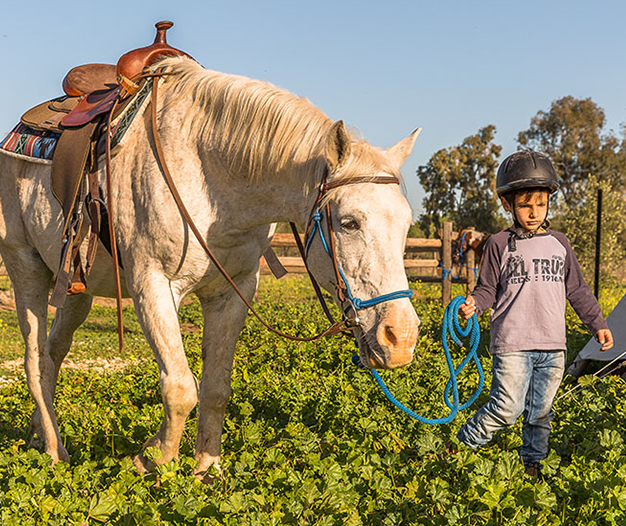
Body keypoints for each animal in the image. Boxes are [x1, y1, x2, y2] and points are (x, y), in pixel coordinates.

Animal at [1, 57, 420, 482]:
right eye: (350, 222)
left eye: (407, 224)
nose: (400, 338)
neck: (211, 173)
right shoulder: (153, 286)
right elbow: (180, 387)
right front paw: (153, 457)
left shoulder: (233, 292)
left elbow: (216, 387)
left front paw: (206, 467)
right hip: (25, 267)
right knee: (35, 360)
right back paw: (54, 452)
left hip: (77, 289)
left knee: (54, 353)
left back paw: (39, 434)